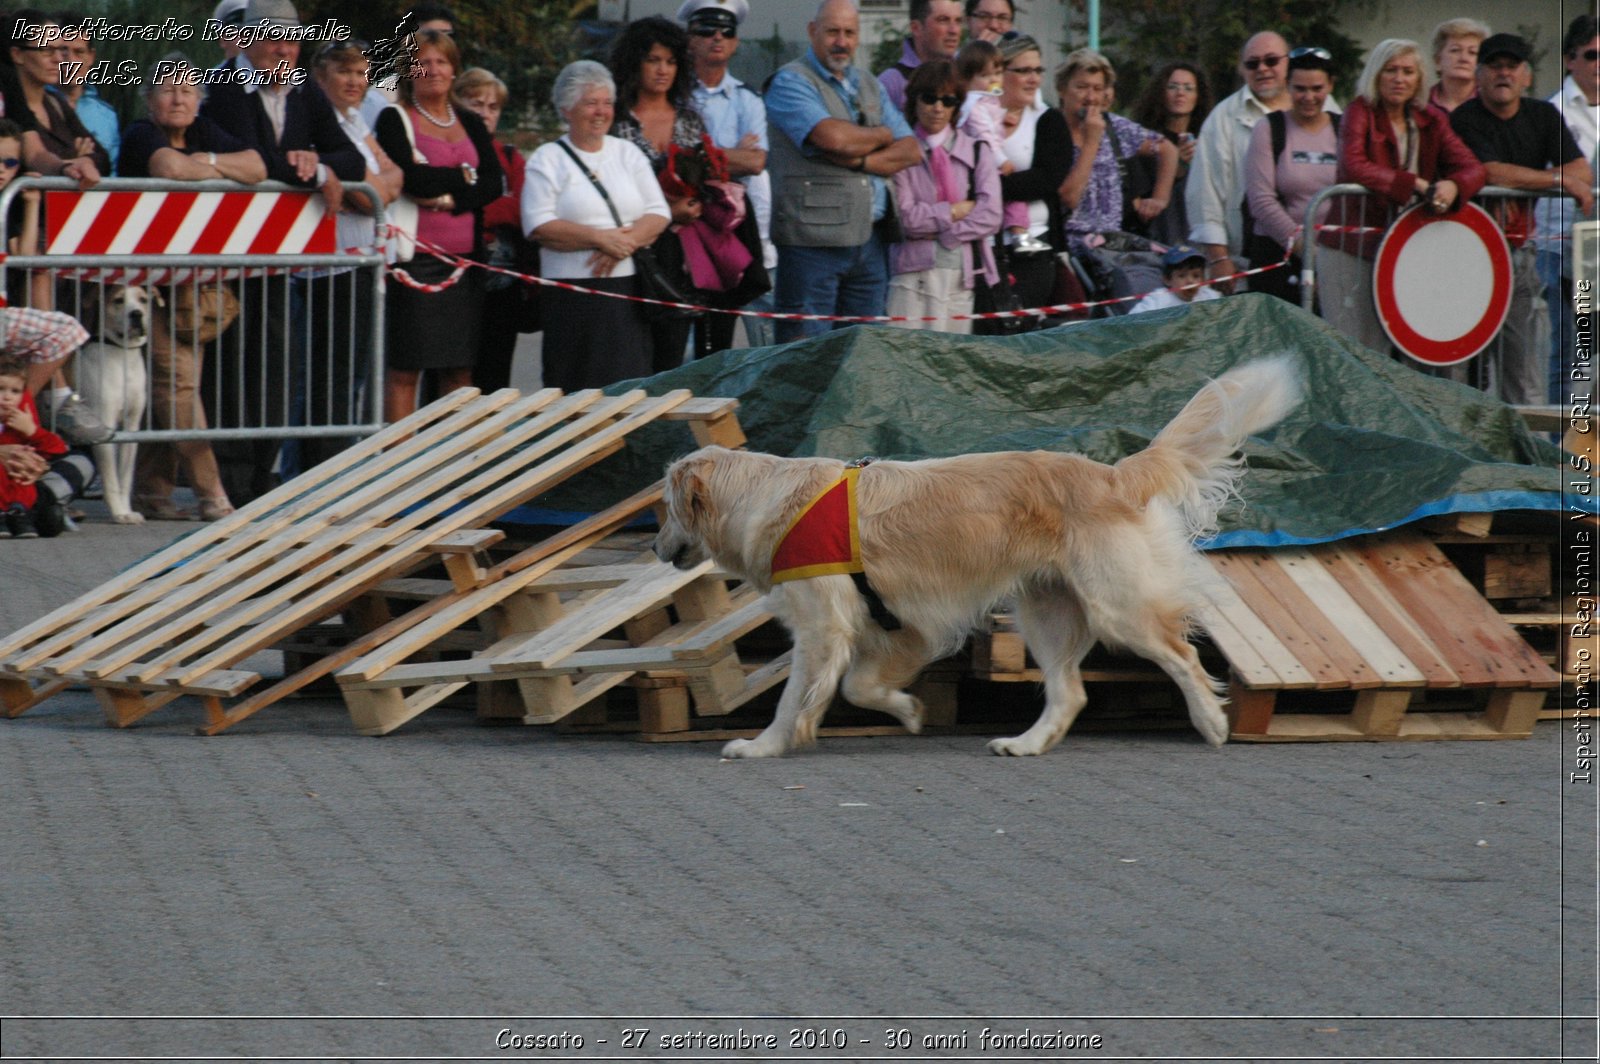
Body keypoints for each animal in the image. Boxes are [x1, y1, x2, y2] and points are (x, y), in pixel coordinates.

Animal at [652, 356, 1299, 755]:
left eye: (664, 506)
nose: (656, 548)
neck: (763, 495)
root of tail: (1112, 474)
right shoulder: (899, 626)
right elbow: (861, 687)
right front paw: (909, 710)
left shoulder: (823, 627)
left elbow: (795, 699)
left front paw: (761, 745)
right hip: (1046, 611)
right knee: (1071, 692)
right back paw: (1026, 744)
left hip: (1118, 607)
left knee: (1182, 656)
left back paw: (1211, 722)